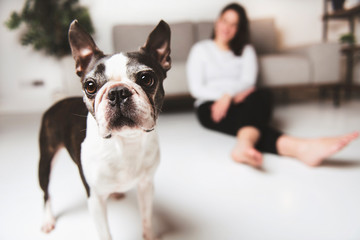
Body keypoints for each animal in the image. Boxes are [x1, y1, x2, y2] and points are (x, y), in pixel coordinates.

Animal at [38, 19, 171, 240]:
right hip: (45, 159)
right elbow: (105, 233)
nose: (117, 92)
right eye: (90, 86)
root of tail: (57, 103)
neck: (125, 141)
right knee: (45, 192)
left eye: (146, 79)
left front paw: (149, 235)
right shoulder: (95, 199)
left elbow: (146, 217)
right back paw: (48, 220)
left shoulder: (146, 186)